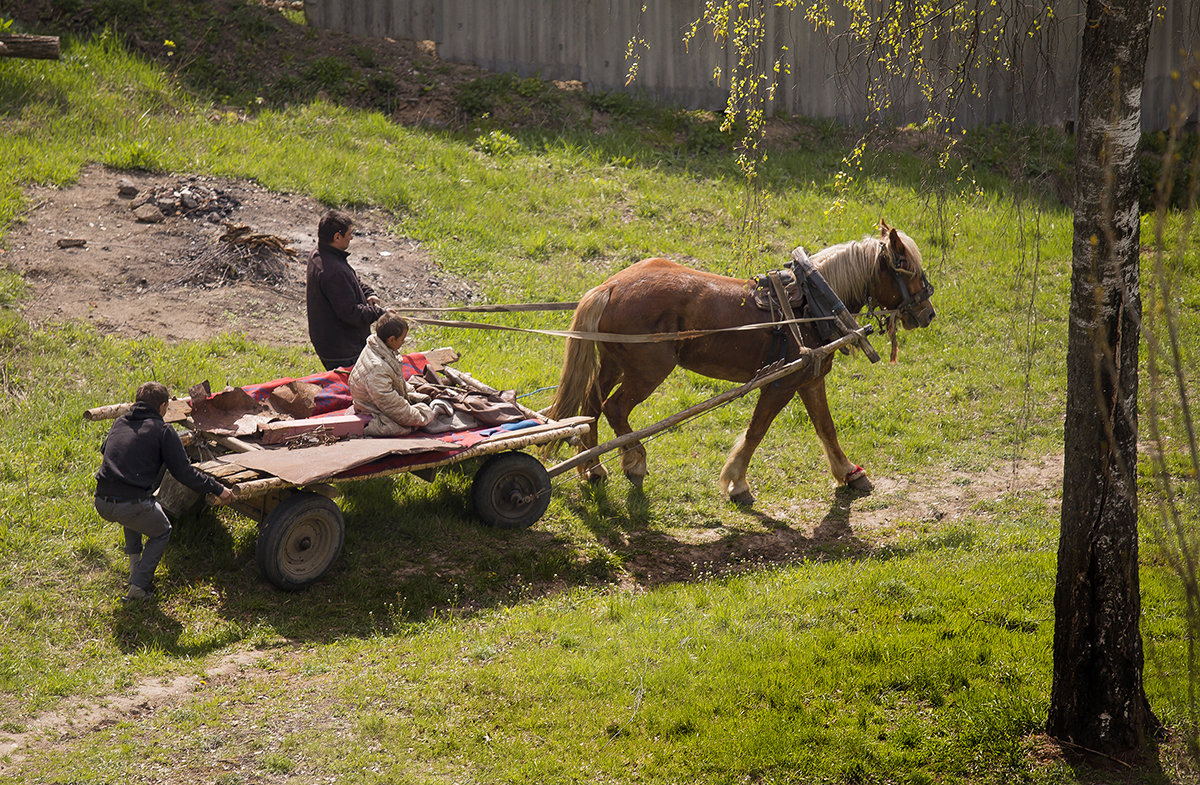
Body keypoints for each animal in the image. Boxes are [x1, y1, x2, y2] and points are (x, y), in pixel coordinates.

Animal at [549, 220, 940, 504]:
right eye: (906, 268)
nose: (928, 313)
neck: (812, 304)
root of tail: (609, 287)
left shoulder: (810, 379)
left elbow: (826, 428)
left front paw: (849, 472)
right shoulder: (781, 383)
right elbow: (756, 430)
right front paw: (736, 483)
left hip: (614, 363)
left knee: (590, 407)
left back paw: (593, 468)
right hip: (648, 371)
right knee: (614, 408)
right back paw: (634, 461)